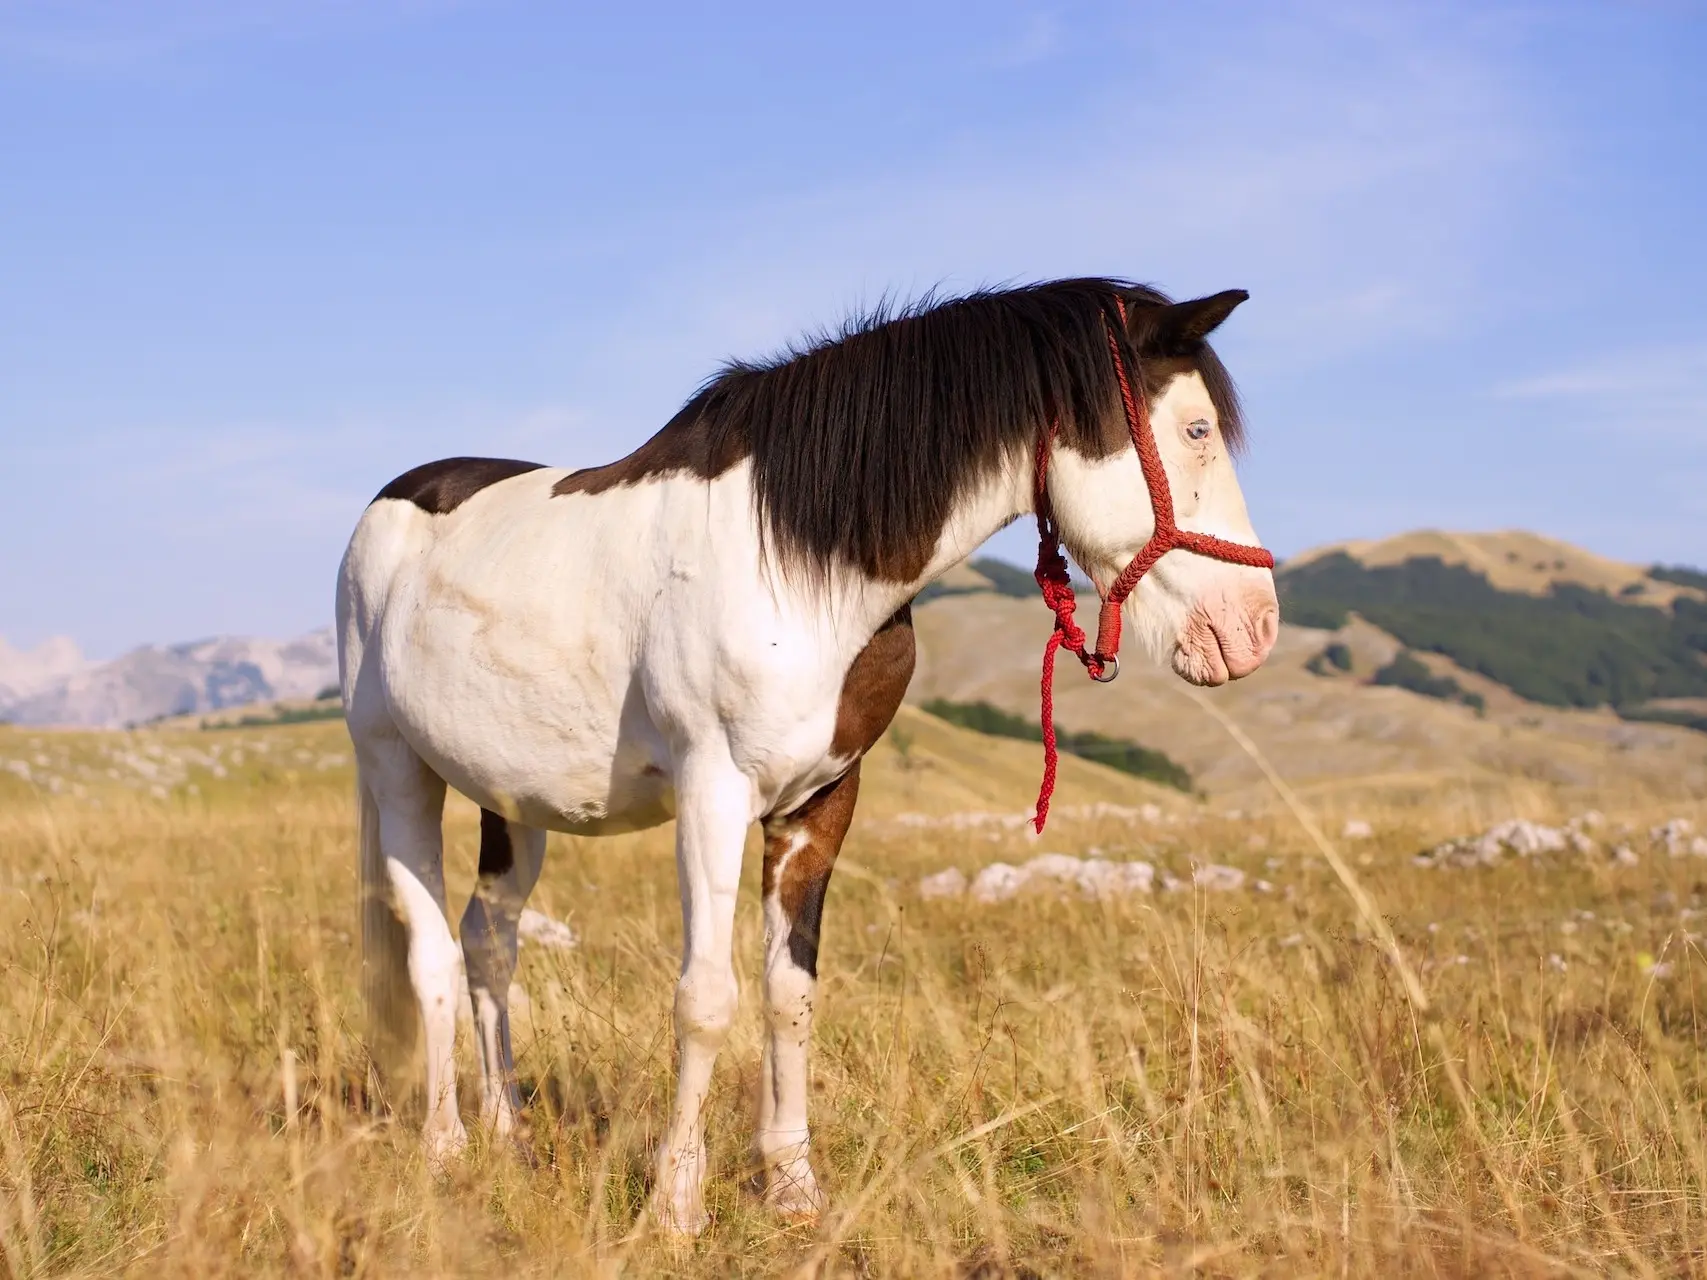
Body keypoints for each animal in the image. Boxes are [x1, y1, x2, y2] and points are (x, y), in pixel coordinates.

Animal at [336, 278, 1283, 1235]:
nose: (1251, 629)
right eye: (1196, 431)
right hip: (397, 770)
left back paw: (510, 1135)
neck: (794, 560)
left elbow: (789, 993)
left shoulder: (819, 802)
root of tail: (394, 504)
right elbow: (705, 999)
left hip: (510, 798)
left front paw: (792, 1186)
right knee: (432, 954)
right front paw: (677, 1203)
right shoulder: (712, 793)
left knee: (488, 941)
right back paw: (446, 1148)